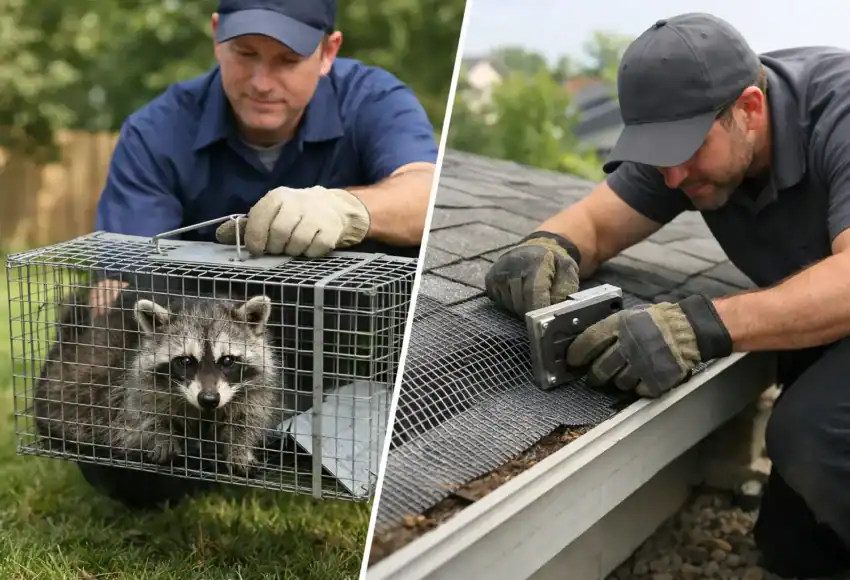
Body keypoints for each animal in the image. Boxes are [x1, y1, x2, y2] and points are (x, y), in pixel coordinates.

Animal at [33, 286, 281, 476]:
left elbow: (246, 419)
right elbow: (137, 419)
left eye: (227, 360)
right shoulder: (134, 386)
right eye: (185, 361)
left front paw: (240, 448)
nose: (209, 399)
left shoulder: (251, 388)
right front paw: (161, 436)